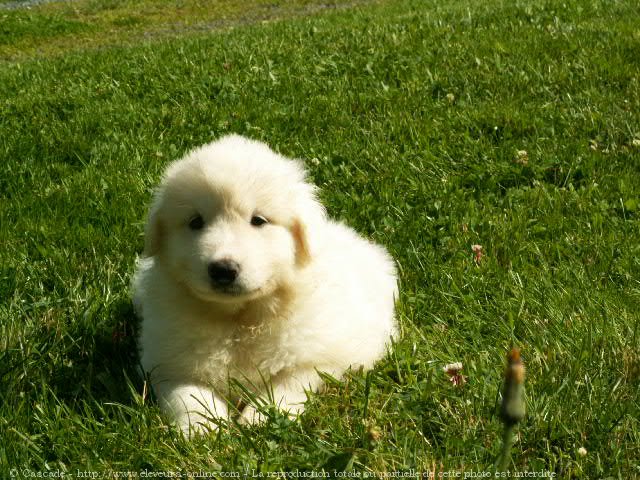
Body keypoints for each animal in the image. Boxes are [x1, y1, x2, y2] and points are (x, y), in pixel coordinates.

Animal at [133, 135, 398, 436]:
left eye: (258, 220)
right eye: (195, 222)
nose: (223, 269)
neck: (240, 319)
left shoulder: (317, 357)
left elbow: (288, 384)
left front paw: (261, 417)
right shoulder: (167, 362)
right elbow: (188, 394)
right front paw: (202, 427)